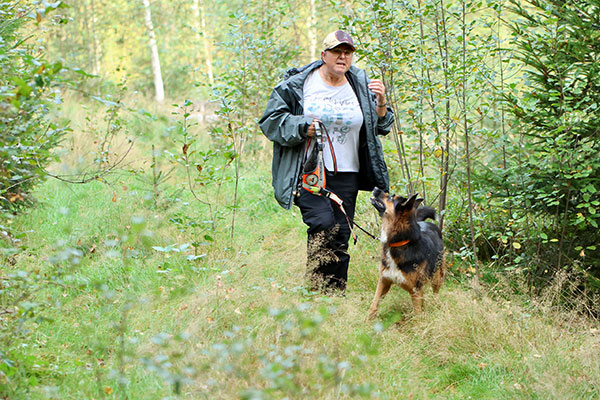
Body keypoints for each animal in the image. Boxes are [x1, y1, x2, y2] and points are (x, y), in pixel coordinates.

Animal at [366, 188, 446, 318]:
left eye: (391, 198)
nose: (375, 188)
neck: (399, 243)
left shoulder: (415, 291)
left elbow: (417, 316)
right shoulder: (384, 281)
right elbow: (374, 305)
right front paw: (367, 320)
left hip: (437, 277)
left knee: (435, 293)